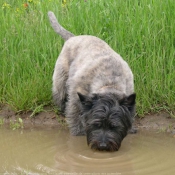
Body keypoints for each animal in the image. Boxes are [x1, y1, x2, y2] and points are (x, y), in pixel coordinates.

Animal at [48, 10, 137, 151]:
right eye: (96, 125)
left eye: (114, 126)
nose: (103, 146)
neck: (109, 82)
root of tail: (73, 37)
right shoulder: (76, 97)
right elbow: (74, 113)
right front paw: (77, 132)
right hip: (61, 79)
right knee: (59, 95)